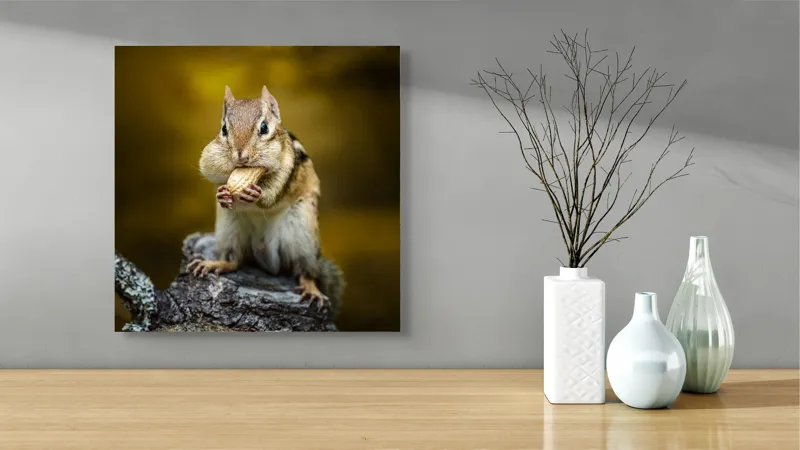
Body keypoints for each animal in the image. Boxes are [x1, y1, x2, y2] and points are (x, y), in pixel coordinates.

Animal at [188, 85, 344, 315]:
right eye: (224, 129)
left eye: (264, 127)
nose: (241, 157)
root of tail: (264, 252)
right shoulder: (211, 157)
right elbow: (209, 170)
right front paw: (222, 193)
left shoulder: (287, 165)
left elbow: (272, 194)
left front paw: (258, 195)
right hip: (230, 228)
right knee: (236, 260)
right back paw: (214, 264)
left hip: (302, 233)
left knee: (304, 271)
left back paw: (312, 289)